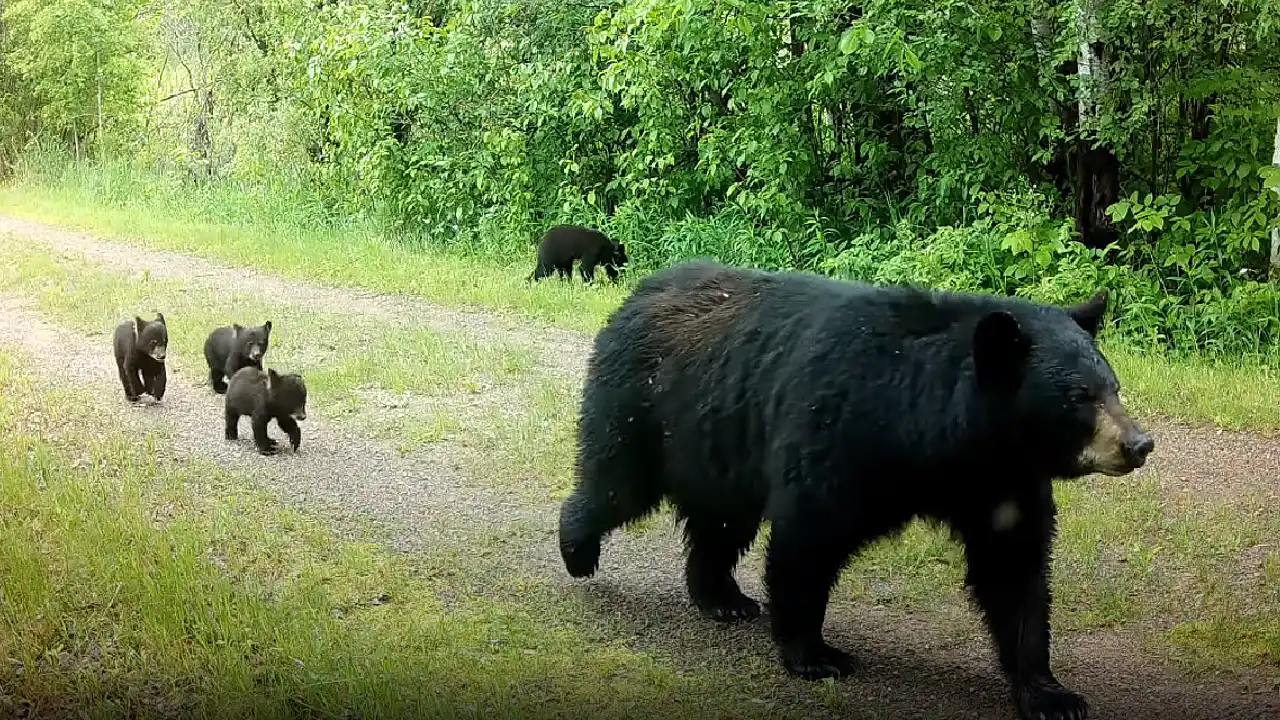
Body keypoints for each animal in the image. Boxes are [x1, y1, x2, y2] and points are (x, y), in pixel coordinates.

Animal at [555, 260, 1157, 717]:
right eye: (1078, 396)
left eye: (1113, 385)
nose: (1139, 443)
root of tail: (640, 290)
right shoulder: (841, 437)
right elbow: (808, 538)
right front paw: (817, 655)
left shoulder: (999, 483)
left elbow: (1014, 572)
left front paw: (1052, 694)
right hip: (646, 406)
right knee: (617, 485)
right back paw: (578, 550)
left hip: (719, 440)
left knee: (722, 523)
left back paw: (722, 598)